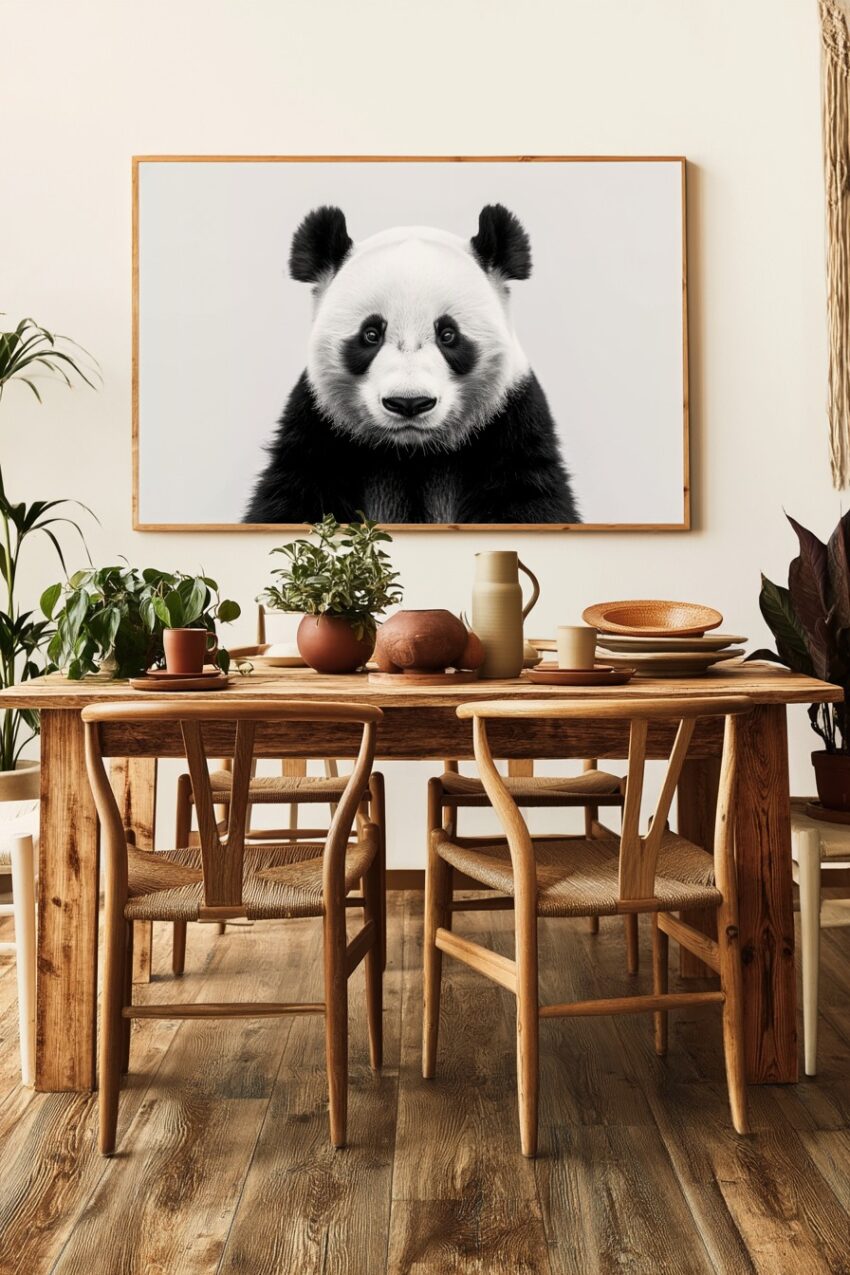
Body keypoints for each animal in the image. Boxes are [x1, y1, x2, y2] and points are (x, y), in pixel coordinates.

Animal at [243, 203, 580, 524]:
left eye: (448, 334)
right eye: (370, 334)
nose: (409, 403)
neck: (412, 453)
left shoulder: (511, 425)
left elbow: (528, 497)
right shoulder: (317, 430)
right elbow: (294, 496)